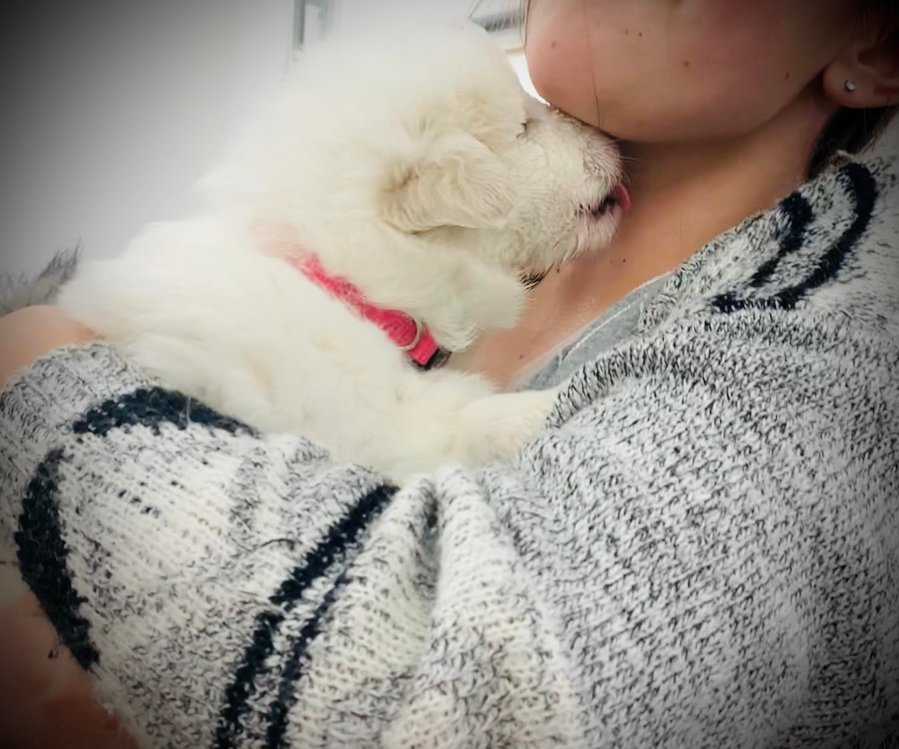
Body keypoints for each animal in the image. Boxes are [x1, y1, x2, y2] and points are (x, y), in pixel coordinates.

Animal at [56, 25, 625, 480]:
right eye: (524, 129)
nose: (611, 137)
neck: (348, 286)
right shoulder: (362, 422)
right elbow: (465, 419)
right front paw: (548, 403)